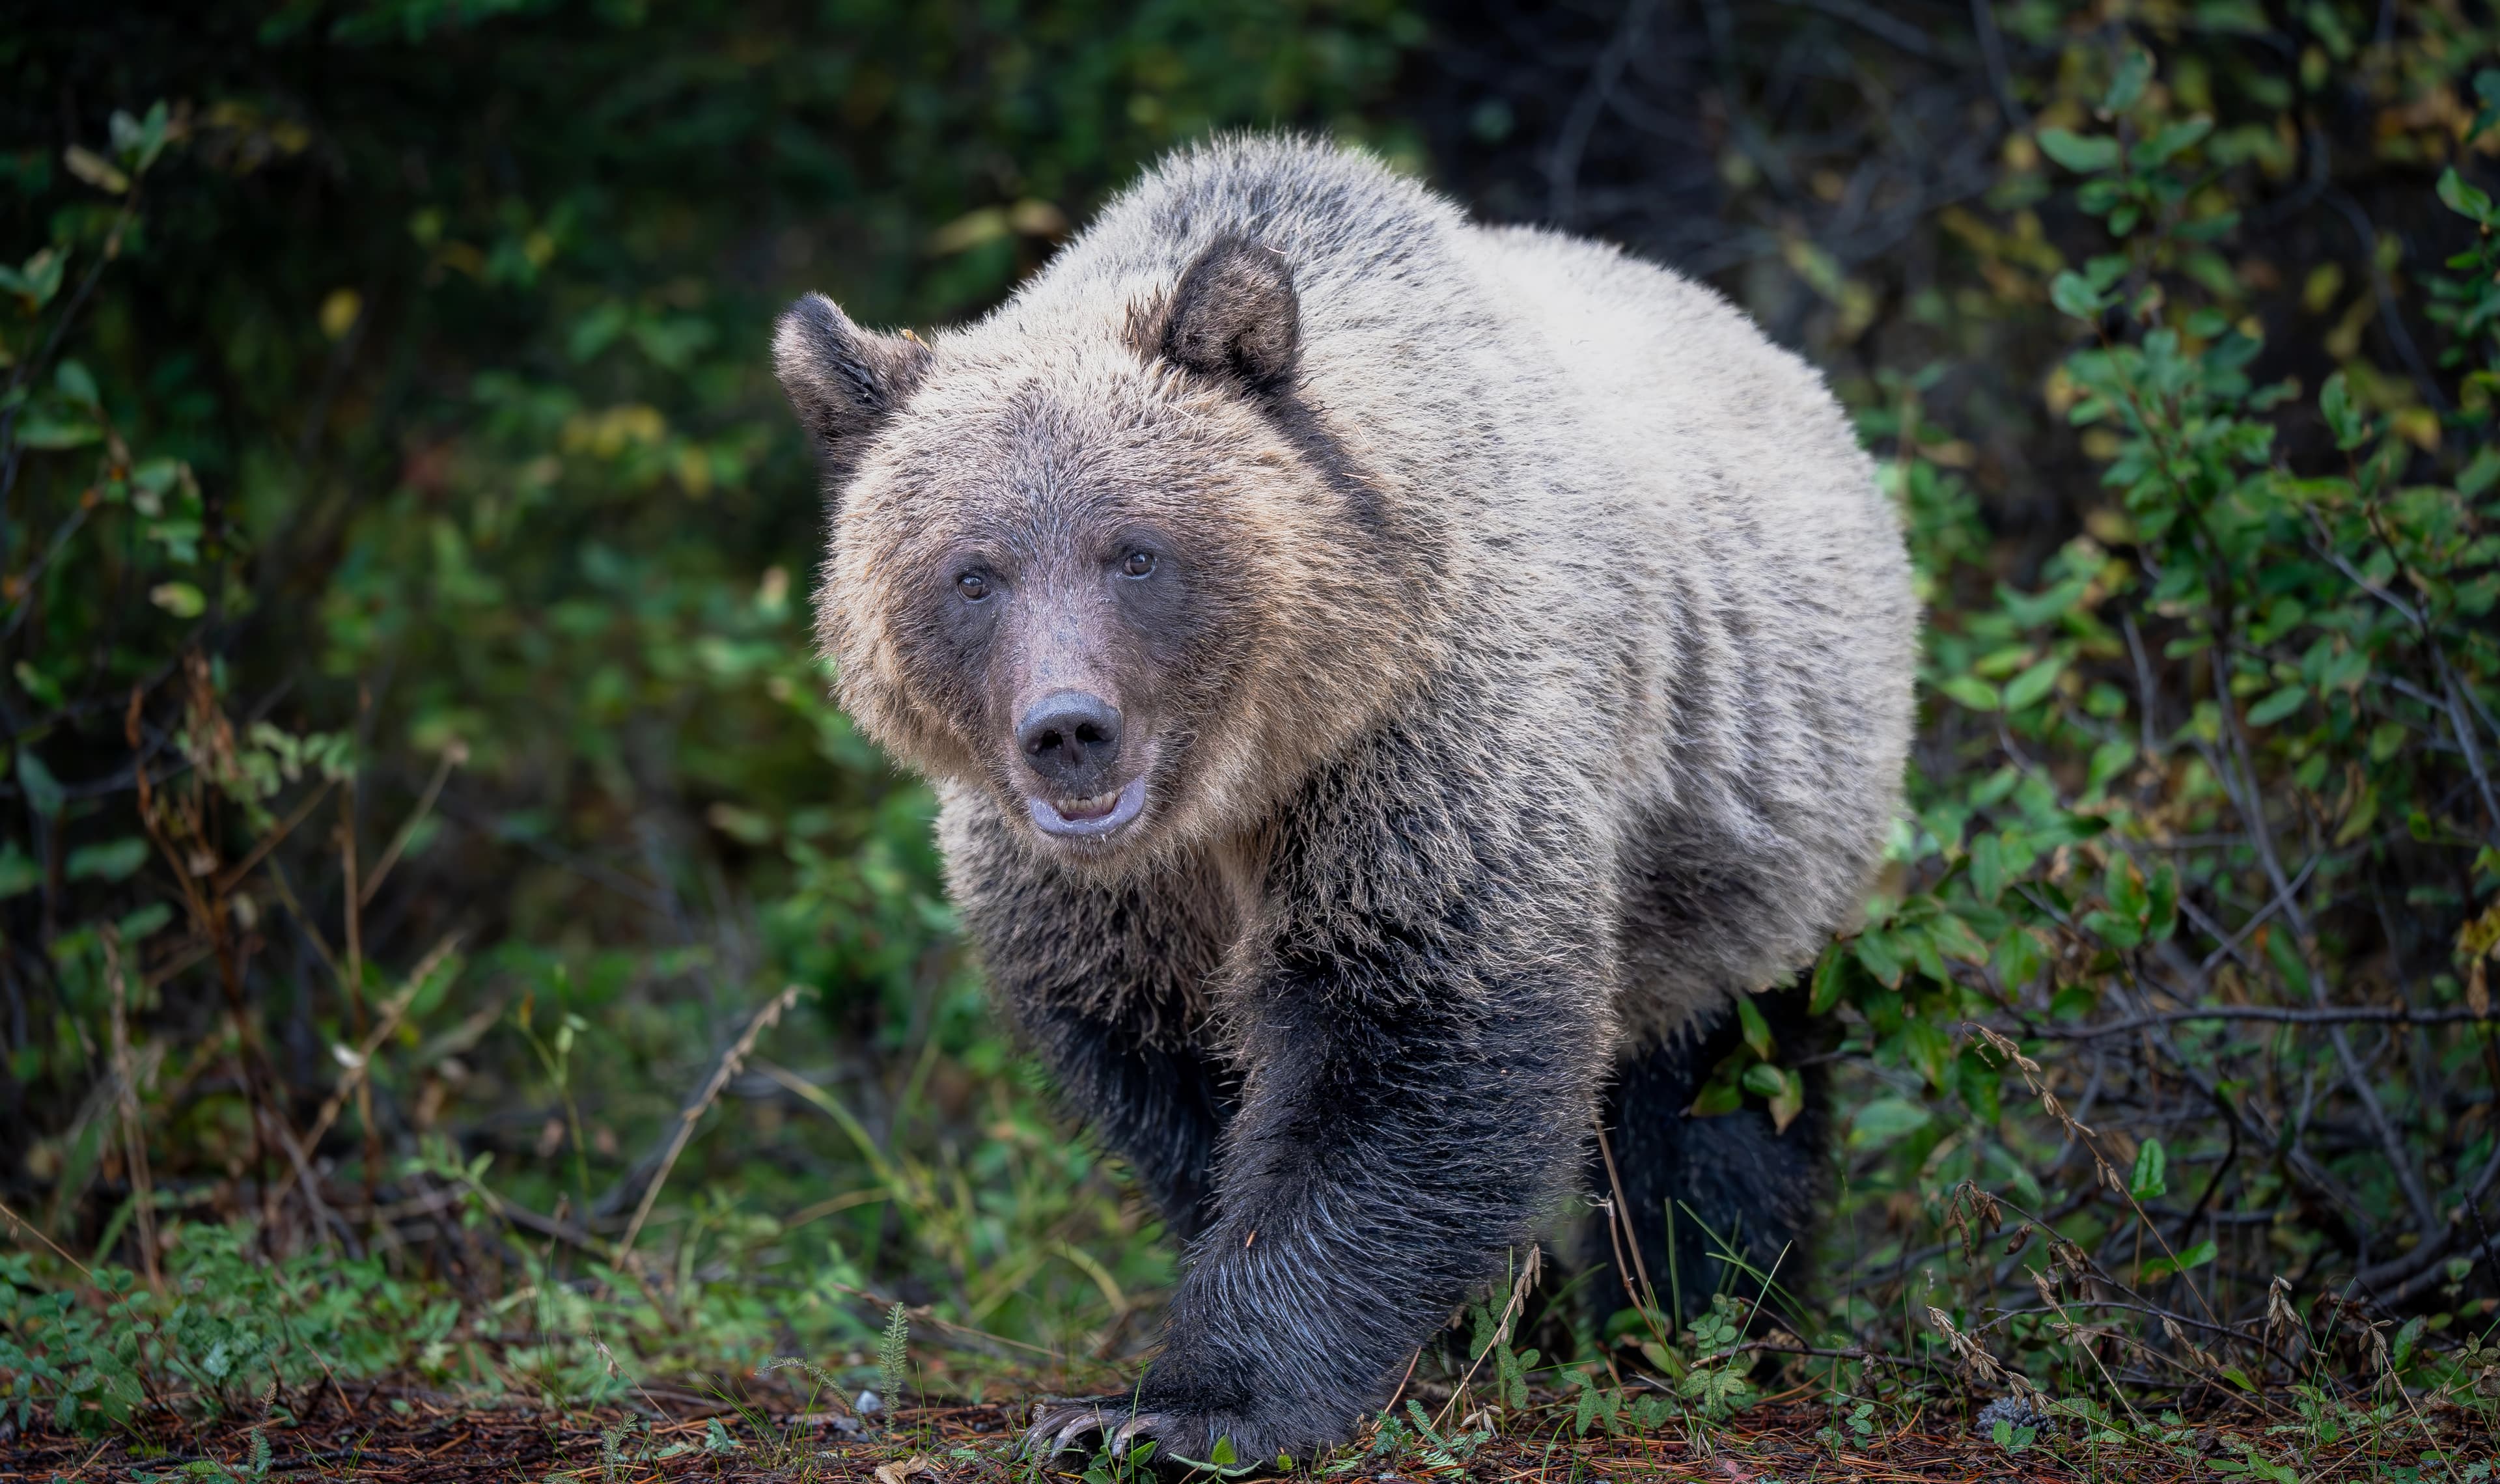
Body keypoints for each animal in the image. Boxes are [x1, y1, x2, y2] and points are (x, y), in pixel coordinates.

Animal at [772, 136, 1917, 1466]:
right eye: (973, 574)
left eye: (1135, 551)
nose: (1066, 732)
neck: (1230, 787)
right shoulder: (1095, 902)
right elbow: (1185, 1085)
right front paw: (1444, 1337)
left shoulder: (1420, 745)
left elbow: (1406, 1039)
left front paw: (1182, 1405)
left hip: (1755, 823)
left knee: (1721, 1092)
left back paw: (1694, 1320)